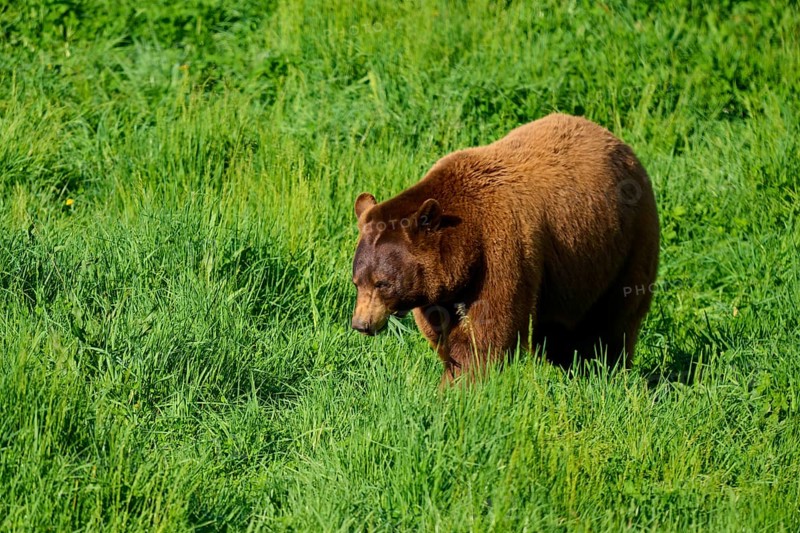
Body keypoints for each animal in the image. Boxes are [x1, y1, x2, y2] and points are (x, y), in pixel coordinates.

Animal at [351, 113, 659, 384]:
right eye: (357, 281)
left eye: (382, 283)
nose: (361, 324)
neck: (466, 239)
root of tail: (620, 143)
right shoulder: (440, 283)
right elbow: (441, 326)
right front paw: (452, 369)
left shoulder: (502, 247)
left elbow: (493, 322)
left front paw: (466, 380)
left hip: (628, 243)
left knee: (615, 319)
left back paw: (604, 368)